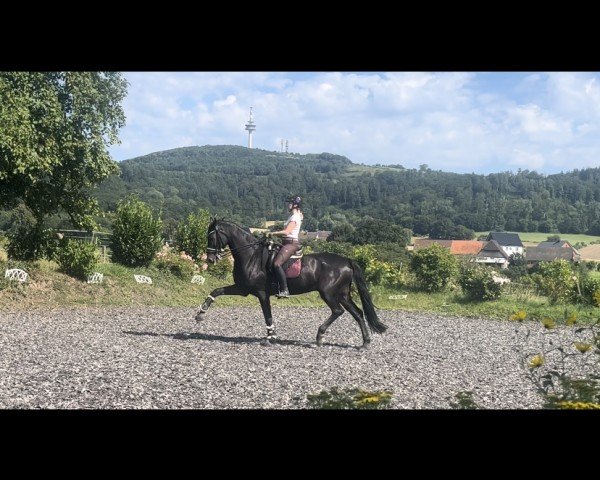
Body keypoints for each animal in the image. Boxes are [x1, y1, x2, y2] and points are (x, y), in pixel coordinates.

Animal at [195, 218, 386, 348]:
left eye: (212, 236)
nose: (210, 259)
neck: (251, 256)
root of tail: (347, 260)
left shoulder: (261, 293)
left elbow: (267, 315)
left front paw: (270, 338)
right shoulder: (242, 289)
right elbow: (216, 291)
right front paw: (200, 313)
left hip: (329, 293)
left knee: (338, 311)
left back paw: (319, 336)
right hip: (342, 294)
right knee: (357, 313)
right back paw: (365, 342)